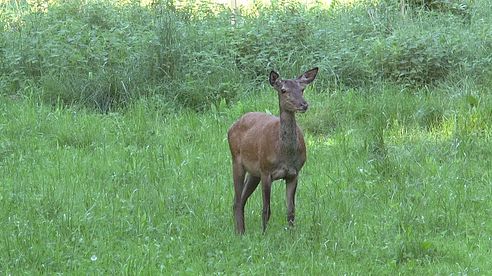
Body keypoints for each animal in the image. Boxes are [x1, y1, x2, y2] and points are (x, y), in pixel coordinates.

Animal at [228, 67, 320, 233]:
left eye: (302, 89)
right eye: (283, 90)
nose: (304, 105)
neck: (284, 154)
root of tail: (231, 127)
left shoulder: (294, 173)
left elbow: (291, 210)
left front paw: (292, 235)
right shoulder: (266, 171)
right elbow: (266, 209)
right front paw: (264, 234)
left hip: (254, 173)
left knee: (240, 199)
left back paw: (242, 230)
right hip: (237, 161)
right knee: (237, 199)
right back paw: (239, 232)